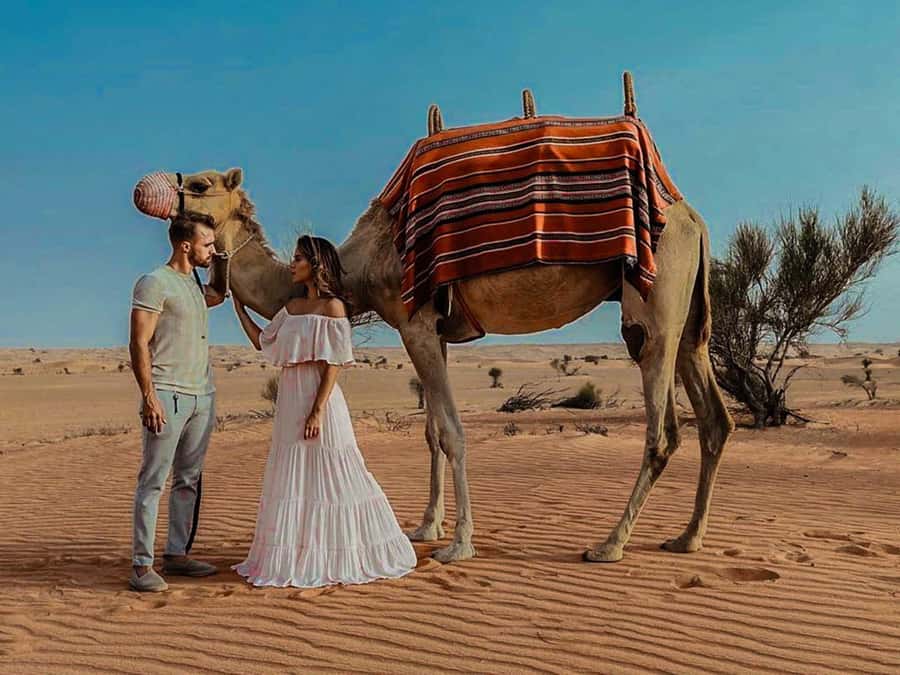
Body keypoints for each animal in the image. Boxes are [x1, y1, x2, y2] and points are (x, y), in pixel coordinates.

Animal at [133, 79, 733, 564]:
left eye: (202, 185)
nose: (150, 188)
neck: (355, 265)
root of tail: (691, 214)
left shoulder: (415, 321)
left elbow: (452, 431)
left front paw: (458, 544)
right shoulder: (434, 332)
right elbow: (430, 432)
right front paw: (426, 526)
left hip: (652, 302)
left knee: (663, 425)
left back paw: (609, 544)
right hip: (690, 317)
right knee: (714, 418)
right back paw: (688, 537)